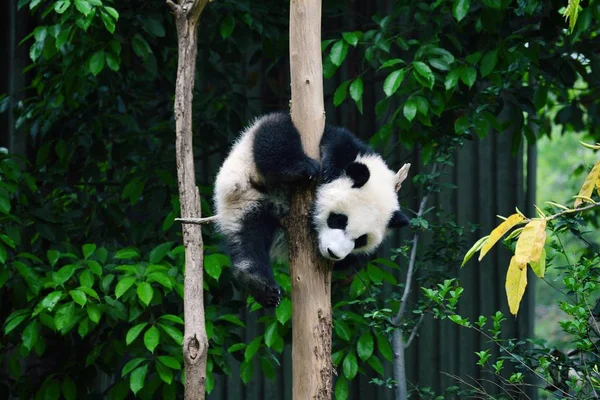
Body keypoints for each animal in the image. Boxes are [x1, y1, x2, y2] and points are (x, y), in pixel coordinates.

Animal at [216, 112, 412, 310]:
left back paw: (256, 282)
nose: (333, 253)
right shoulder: (344, 145)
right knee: (274, 134)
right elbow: (336, 142)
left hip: (250, 206)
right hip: (246, 180)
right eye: (339, 220)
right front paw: (326, 170)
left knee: (249, 236)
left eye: (360, 240)